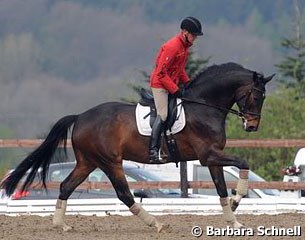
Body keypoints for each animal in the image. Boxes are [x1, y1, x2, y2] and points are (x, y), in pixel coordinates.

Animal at [1, 62, 274, 232]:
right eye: (256, 96)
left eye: (263, 97)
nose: (252, 126)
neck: (204, 106)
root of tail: (80, 117)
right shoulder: (209, 155)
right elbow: (242, 164)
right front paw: (238, 199)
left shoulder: (212, 157)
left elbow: (220, 189)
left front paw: (234, 220)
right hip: (110, 162)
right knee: (124, 194)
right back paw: (157, 224)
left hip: (87, 162)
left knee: (66, 186)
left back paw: (61, 225)